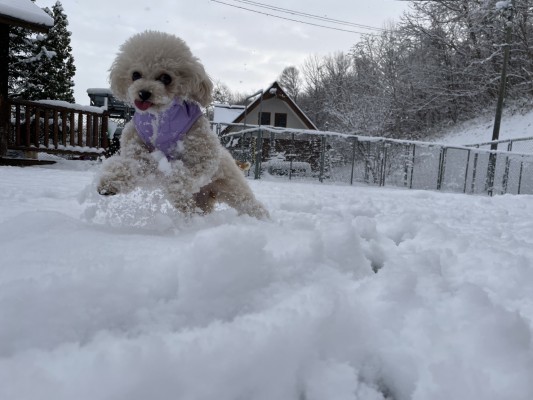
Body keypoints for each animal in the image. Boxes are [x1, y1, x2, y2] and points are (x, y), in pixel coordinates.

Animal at [96, 30, 268, 219]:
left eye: (166, 78)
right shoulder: (136, 146)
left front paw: (175, 186)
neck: (160, 117)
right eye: (135, 75)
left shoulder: (203, 154)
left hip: (232, 188)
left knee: (251, 204)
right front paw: (109, 183)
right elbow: (133, 165)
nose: (143, 93)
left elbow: (181, 176)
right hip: (203, 200)